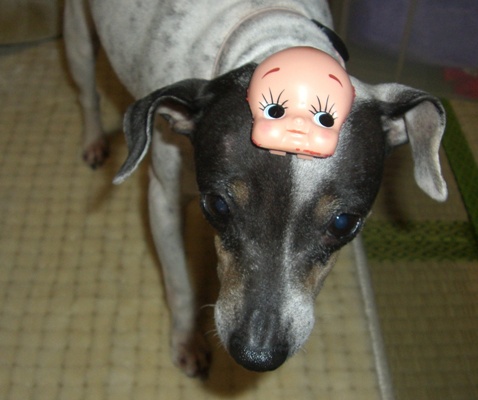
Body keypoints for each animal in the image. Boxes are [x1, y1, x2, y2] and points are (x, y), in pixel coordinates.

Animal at [64, 0, 448, 378]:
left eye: (343, 223)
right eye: (218, 205)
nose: (256, 355)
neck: (275, 37)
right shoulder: (162, 200)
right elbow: (180, 285)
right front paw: (187, 342)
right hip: (78, 38)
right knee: (86, 91)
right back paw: (93, 140)